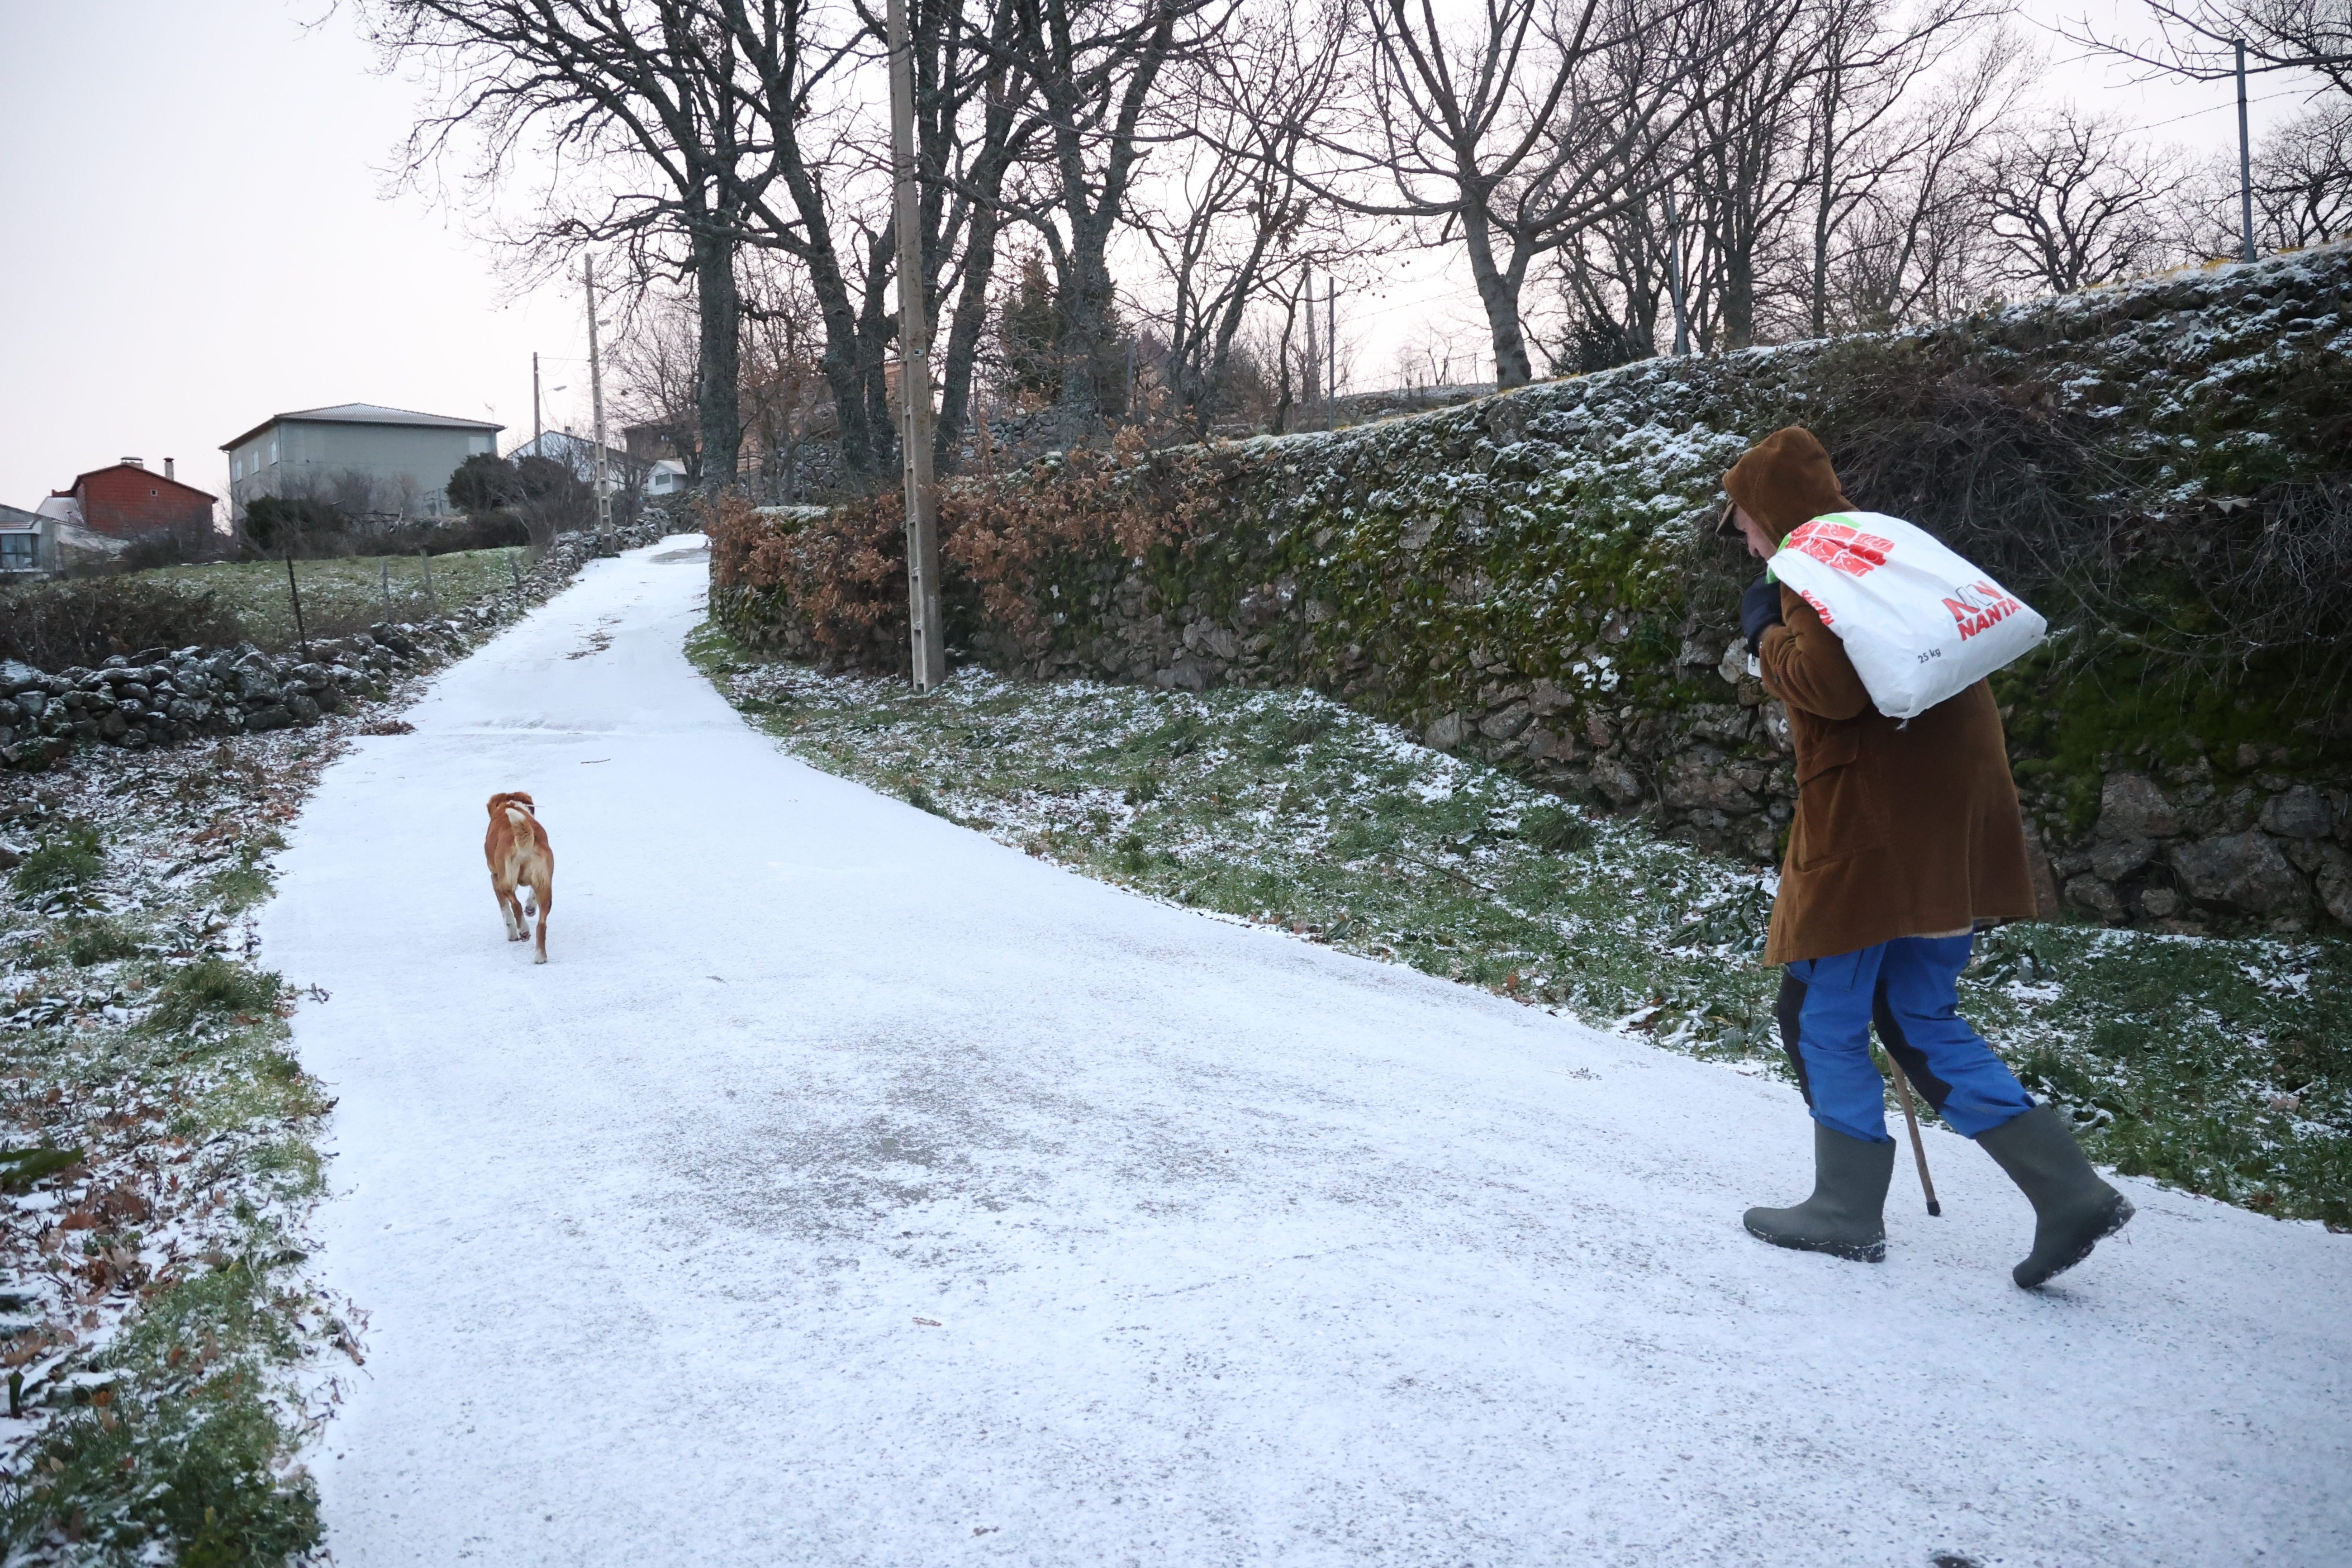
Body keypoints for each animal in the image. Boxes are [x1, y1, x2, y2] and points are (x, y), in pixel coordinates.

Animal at [487, 789, 555, 964]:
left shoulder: (494, 877)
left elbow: (505, 910)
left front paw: (512, 934)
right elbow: (532, 895)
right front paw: (530, 908)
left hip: (505, 880)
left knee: (515, 905)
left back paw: (523, 930)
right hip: (545, 884)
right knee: (542, 925)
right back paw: (540, 957)